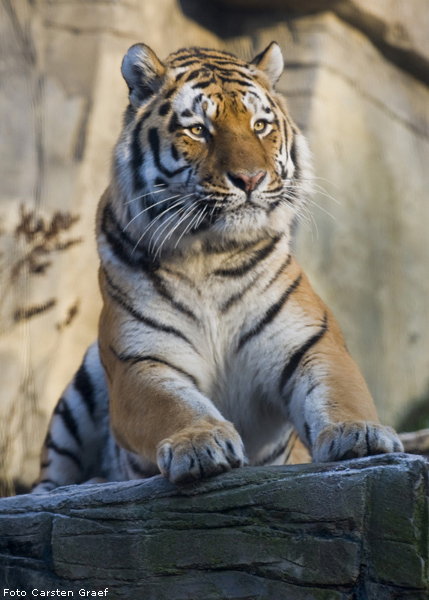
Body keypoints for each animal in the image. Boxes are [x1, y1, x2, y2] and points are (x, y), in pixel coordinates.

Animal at [31, 41, 402, 492]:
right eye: (198, 130)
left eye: (260, 125)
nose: (250, 178)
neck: (208, 255)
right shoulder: (141, 361)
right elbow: (174, 405)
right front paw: (200, 444)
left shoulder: (312, 343)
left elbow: (339, 392)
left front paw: (359, 434)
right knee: (45, 483)